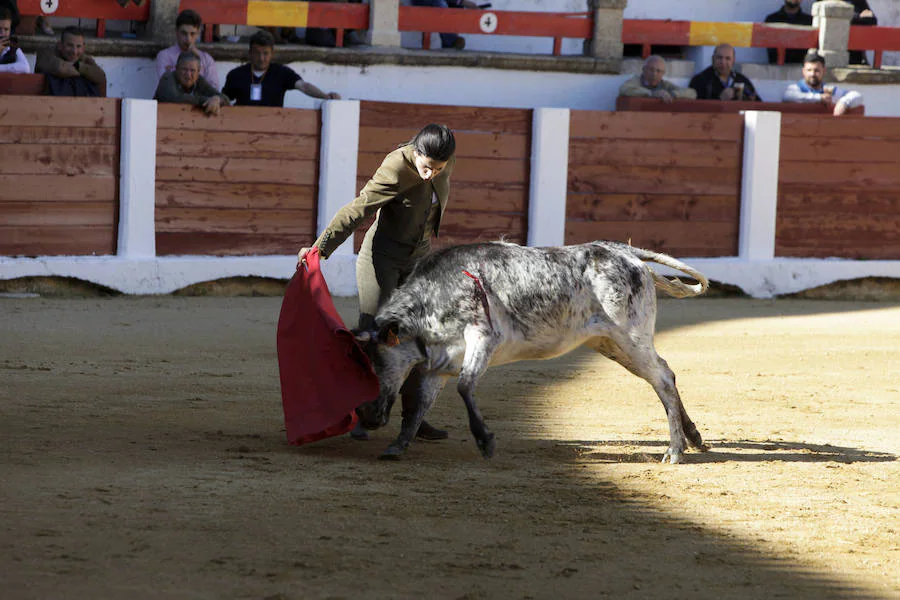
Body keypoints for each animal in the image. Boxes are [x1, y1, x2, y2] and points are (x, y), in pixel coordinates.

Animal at [356, 240, 712, 464]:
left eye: (376, 361)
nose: (367, 417)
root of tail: (624, 252)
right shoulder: (439, 363)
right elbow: (420, 405)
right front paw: (397, 446)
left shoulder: (483, 337)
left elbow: (465, 386)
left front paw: (485, 441)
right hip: (611, 344)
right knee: (665, 373)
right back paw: (693, 438)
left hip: (631, 338)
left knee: (662, 378)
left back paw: (675, 450)